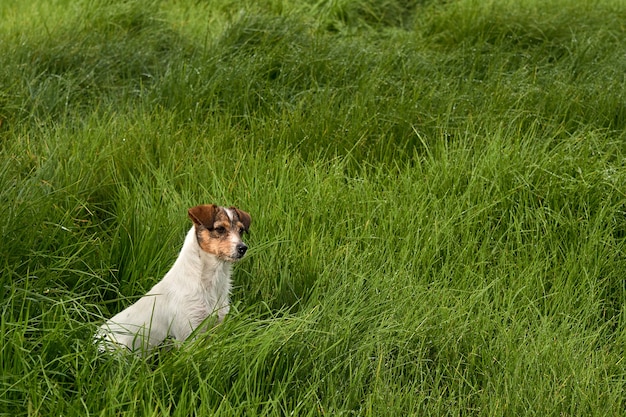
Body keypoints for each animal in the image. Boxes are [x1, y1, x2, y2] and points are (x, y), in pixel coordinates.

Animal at [94, 203, 250, 352]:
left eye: (241, 230)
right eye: (220, 229)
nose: (243, 248)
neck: (210, 281)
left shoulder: (216, 326)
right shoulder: (189, 335)